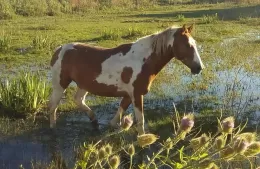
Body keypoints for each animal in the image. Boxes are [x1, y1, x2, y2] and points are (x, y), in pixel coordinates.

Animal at [47, 23, 204, 135]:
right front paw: (142, 141)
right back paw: (53, 128)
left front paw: (113, 127)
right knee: (53, 106)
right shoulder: (136, 94)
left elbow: (120, 112)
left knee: (78, 100)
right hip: (60, 84)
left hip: (84, 85)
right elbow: (140, 121)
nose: (199, 67)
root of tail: (59, 49)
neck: (142, 60)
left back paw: (94, 122)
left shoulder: (129, 95)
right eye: (188, 45)